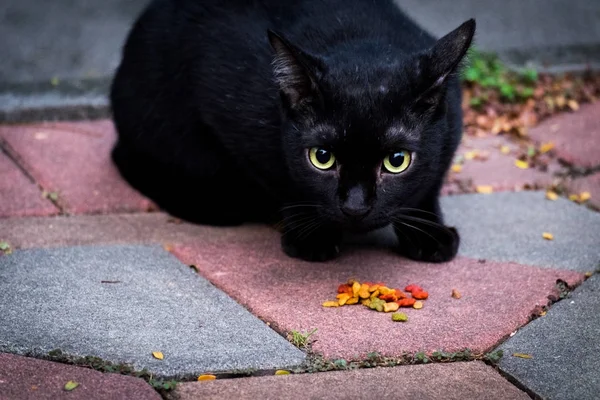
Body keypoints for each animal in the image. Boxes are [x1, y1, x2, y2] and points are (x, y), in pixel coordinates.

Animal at [110, 0, 476, 262]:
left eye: (396, 160)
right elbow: (283, 180)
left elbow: (429, 183)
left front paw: (428, 232)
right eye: (322, 158)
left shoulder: (451, 130)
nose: (355, 207)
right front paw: (311, 236)